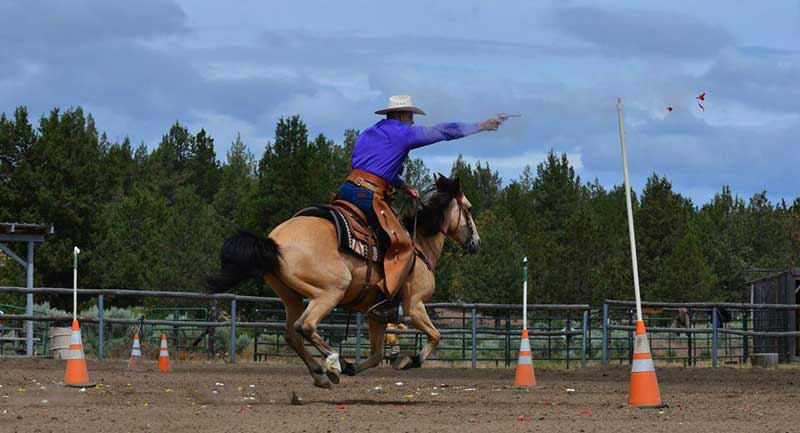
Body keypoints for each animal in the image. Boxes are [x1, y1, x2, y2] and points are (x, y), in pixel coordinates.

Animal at [208, 175, 482, 388]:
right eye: (469, 208)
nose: (476, 243)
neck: (419, 246)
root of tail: (272, 241)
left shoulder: (377, 315)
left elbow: (376, 355)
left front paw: (355, 367)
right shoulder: (414, 305)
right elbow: (436, 335)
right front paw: (410, 360)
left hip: (291, 297)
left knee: (292, 334)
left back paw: (321, 375)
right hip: (330, 291)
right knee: (305, 326)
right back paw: (333, 363)